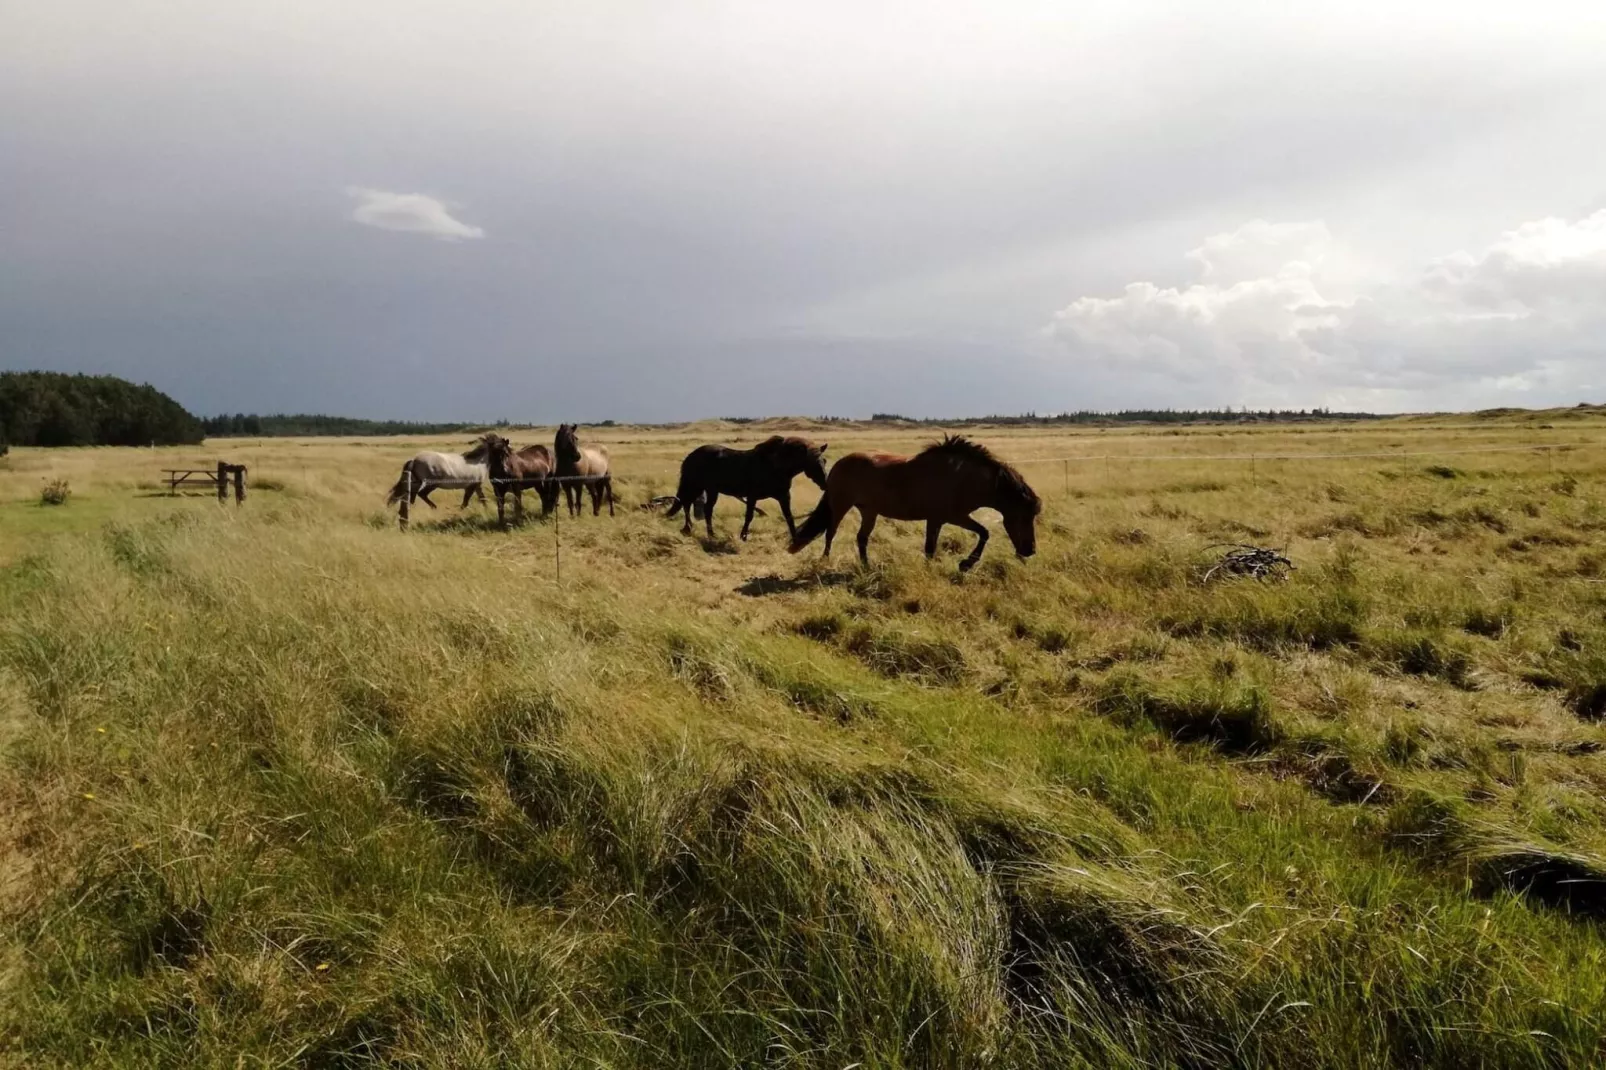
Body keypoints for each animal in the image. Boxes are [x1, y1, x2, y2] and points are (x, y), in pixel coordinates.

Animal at [664, 430, 828, 536]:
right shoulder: (752, 496)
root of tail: (690, 456)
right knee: (687, 503)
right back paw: (690, 528)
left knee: (703, 508)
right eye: (813, 463)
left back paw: (708, 533)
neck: (774, 466)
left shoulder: (784, 496)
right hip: (696, 486)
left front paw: (794, 538)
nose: (825, 484)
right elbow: (749, 516)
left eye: (824, 461)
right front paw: (743, 536)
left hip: (709, 489)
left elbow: (789, 517)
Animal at [786, 430, 1040, 571]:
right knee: (830, 532)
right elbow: (977, 535)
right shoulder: (948, 517)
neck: (963, 477)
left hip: (869, 511)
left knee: (861, 538)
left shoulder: (946, 518)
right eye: (1024, 516)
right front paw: (965, 565)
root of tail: (839, 463)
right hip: (840, 505)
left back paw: (867, 566)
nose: (1030, 551)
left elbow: (939, 545)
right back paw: (825, 561)